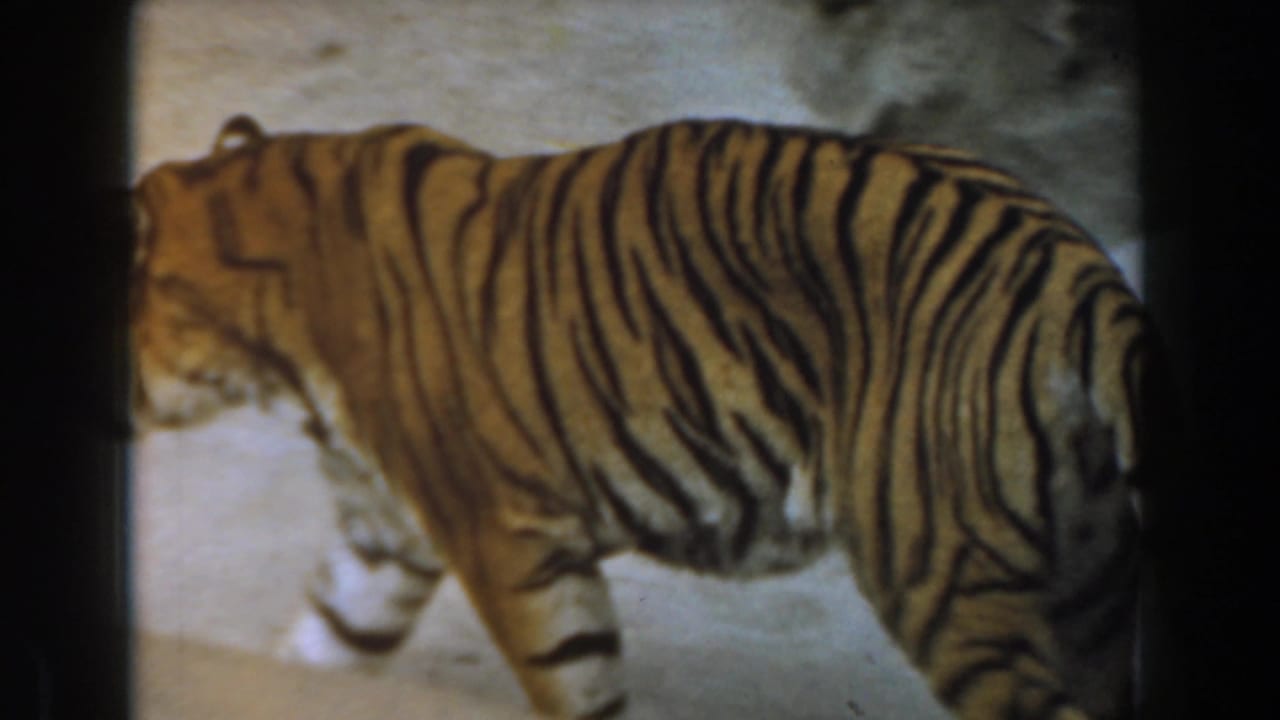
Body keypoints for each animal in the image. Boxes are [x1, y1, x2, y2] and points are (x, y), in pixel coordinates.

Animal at [131, 113, 1166, 720]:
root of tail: (1080, 272)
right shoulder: (385, 536)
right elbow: (321, 642)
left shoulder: (506, 536)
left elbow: (576, 684)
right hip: (1088, 587)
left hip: (944, 580)